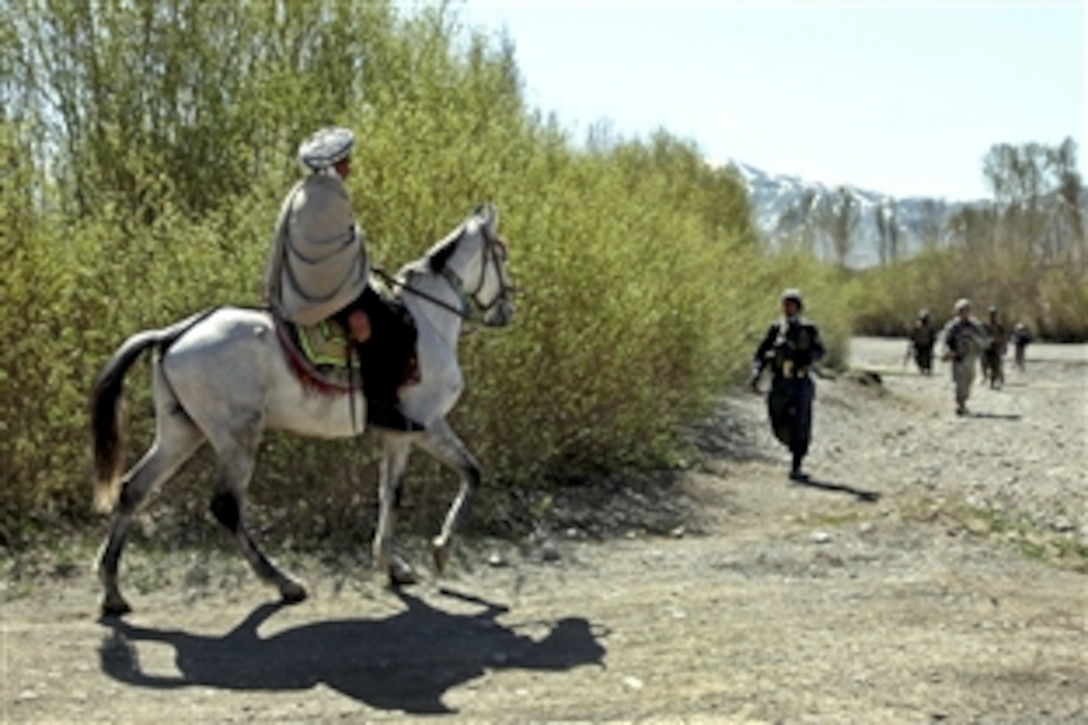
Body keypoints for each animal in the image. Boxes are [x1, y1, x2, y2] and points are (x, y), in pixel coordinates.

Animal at [89, 203, 513, 613]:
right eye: (501, 253)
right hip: (236, 438)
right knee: (226, 507)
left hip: (181, 432)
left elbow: (391, 493)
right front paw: (441, 549)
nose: (506, 310)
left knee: (133, 489)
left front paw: (393, 565)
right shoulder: (428, 424)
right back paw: (283, 582)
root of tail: (174, 333)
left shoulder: (399, 433)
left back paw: (112, 591)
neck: (425, 323)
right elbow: (471, 473)